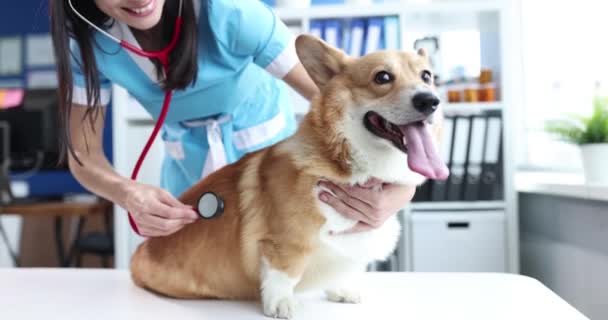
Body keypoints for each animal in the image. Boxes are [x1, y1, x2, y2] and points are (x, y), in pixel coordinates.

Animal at [129, 33, 446, 318]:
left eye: (427, 76)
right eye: (382, 77)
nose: (430, 101)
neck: (347, 164)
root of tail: (141, 250)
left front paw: (341, 290)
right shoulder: (284, 244)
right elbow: (284, 275)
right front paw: (280, 304)